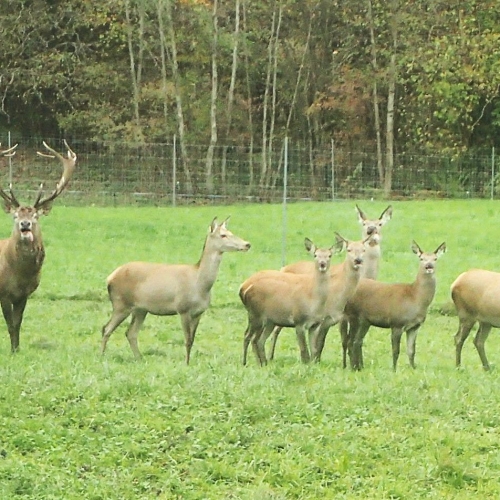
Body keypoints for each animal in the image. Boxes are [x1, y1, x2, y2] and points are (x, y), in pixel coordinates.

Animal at [0, 141, 77, 352]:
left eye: (35, 215)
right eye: (15, 215)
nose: (24, 224)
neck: (19, 274)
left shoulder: (24, 294)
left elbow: (18, 323)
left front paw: (16, 349)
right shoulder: (3, 292)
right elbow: (10, 324)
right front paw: (13, 350)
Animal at [101, 216, 250, 364]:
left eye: (231, 232)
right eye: (223, 235)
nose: (247, 244)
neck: (200, 286)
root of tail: (110, 278)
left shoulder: (199, 312)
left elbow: (192, 340)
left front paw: (189, 361)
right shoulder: (183, 309)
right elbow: (187, 340)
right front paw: (186, 363)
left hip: (140, 309)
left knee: (130, 332)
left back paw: (140, 358)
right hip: (121, 303)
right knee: (106, 328)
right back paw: (102, 356)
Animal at [238, 236, 340, 366]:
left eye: (329, 255)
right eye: (315, 255)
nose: (322, 264)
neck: (314, 302)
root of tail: (244, 289)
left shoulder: (315, 325)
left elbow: (314, 350)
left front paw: (313, 365)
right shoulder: (299, 321)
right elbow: (304, 351)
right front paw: (305, 365)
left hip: (269, 321)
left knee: (259, 340)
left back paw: (264, 363)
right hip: (255, 315)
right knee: (248, 336)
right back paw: (245, 362)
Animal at [268, 205, 392, 362]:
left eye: (380, 224)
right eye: (364, 223)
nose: (371, 230)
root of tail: (283, 267)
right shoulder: (337, 316)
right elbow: (336, 341)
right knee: (276, 329)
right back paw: (270, 356)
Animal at [344, 242, 446, 372]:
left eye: (435, 258)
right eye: (421, 258)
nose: (429, 266)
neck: (415, 298)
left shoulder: (414, 327)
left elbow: (411, 351)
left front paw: (413, 368)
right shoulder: (396, 323)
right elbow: (396, 350)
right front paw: (394, 370)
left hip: (365, 321)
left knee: (357, 341)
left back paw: (359, 366)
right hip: (354, 316)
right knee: (351, 341)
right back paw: (354, 367)